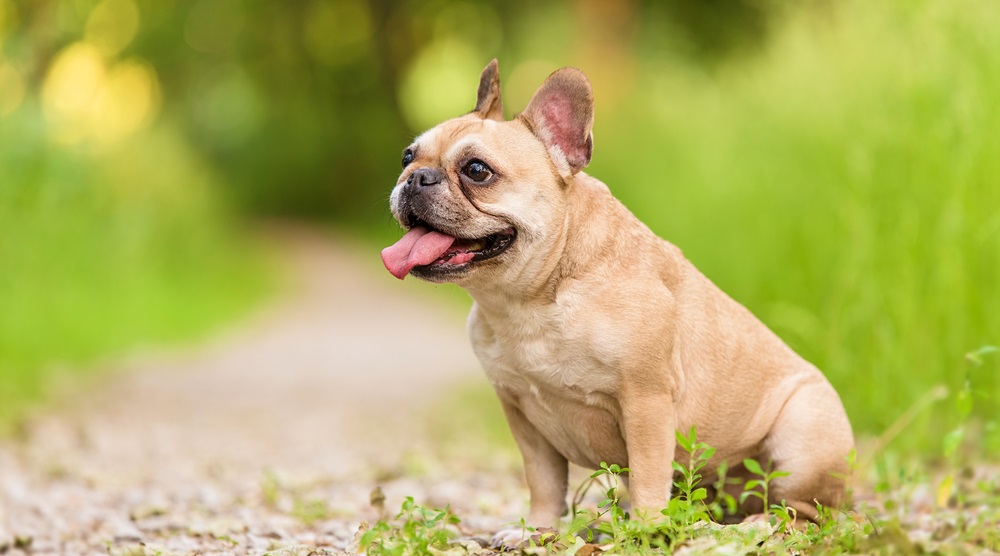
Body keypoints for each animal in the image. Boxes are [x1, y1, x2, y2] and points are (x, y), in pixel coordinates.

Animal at [380, 59, 852, 544]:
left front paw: (645, 529)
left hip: (800, 438)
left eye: (477, 170)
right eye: (407, 157)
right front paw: (537, 530)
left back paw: (753, 526)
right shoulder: (523, 417)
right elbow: (544, 482)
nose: (415, 178)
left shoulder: (645, 400)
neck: (530, 300)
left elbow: (647, 474)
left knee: (803, 511)